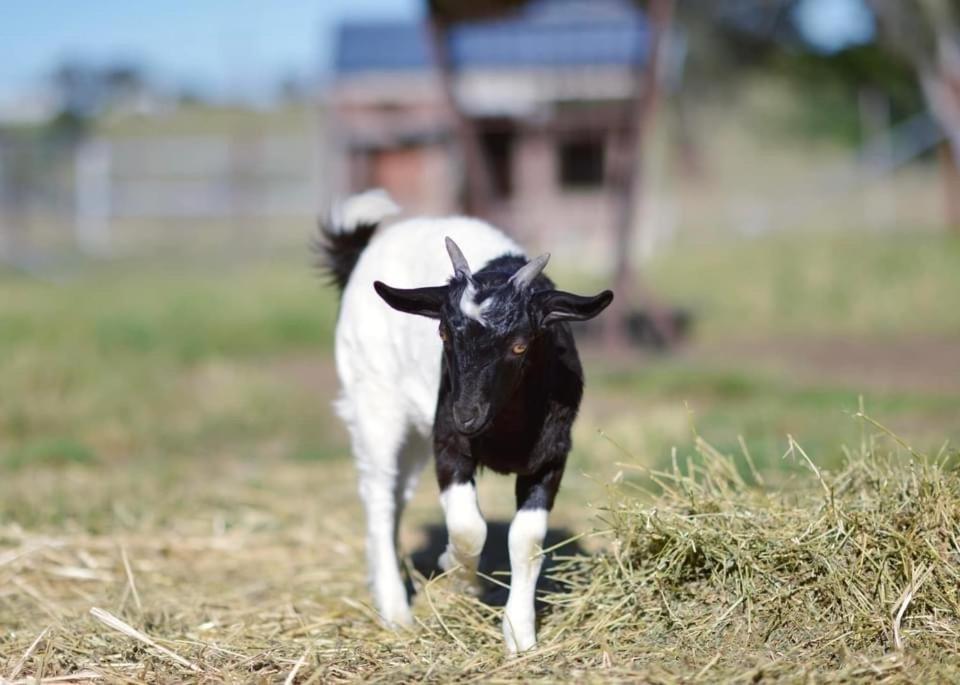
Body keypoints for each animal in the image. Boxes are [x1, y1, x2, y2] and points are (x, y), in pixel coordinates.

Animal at [318, 188, 612, 652]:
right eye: (442, 332)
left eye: (520, 344)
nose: (466, 416)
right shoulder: (449, 445)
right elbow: (468, 526)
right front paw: (461, 579)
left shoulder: (551, 456)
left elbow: (526, 540)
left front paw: (520, 636)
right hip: (375, 400)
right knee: (379, 494)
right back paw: (395, 611)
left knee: (397, 494)